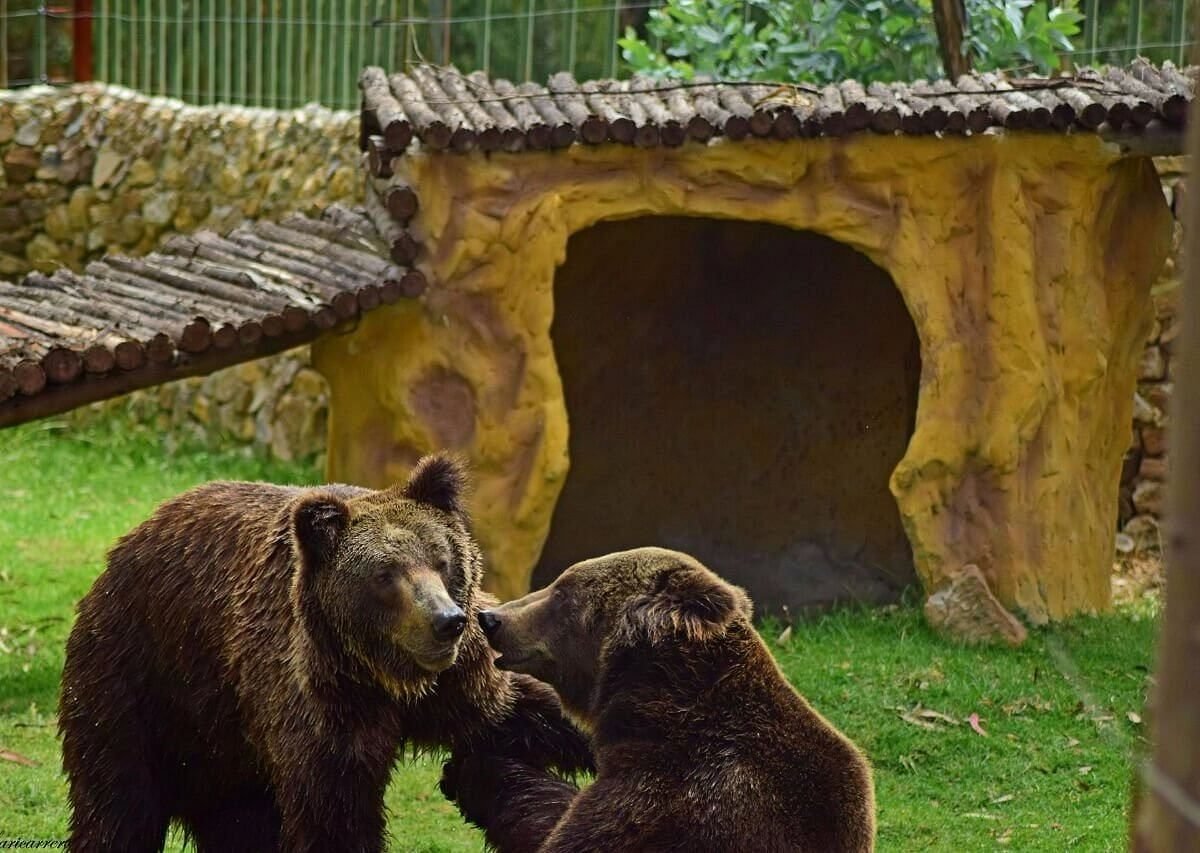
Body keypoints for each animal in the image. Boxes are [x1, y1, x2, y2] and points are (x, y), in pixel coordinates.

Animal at [58, 453, 592, 853]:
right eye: (386, 575)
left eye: (442, 561)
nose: (446, 622)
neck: (385, 676)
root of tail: (131, 539)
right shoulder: (316, 701)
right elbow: (335, 811)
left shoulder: (461, 681)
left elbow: (524, 707)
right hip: (139, 680)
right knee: (119, 800)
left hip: (224, 739)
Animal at [446, 547, 878, 853]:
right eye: (556, 583)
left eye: (562, 592)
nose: (491, 618)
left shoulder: (665, 802)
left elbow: (564, 830)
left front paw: (475, 771)